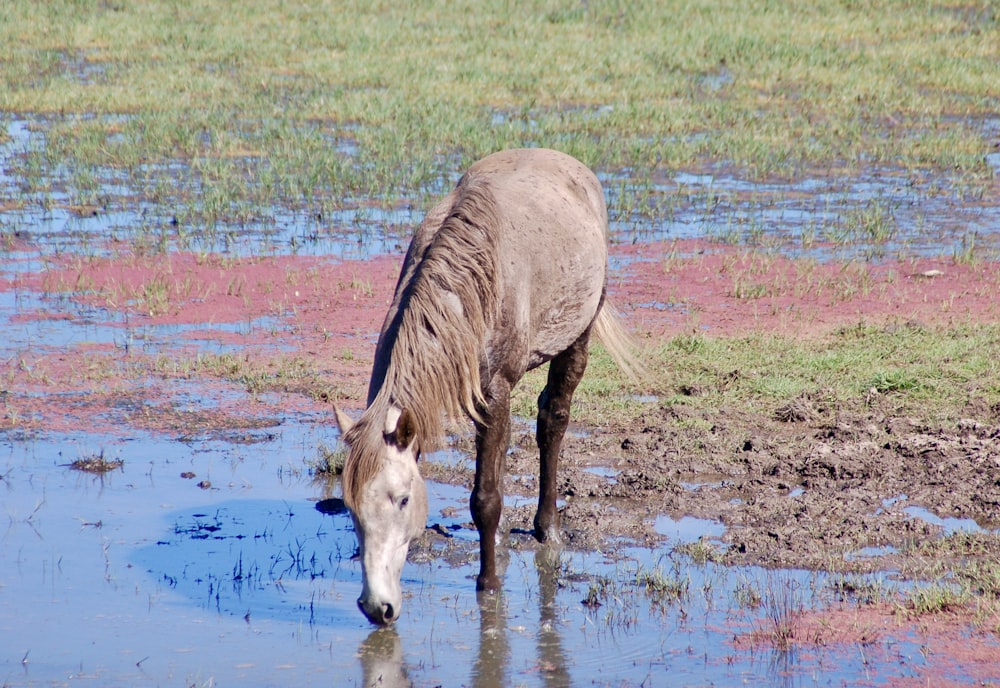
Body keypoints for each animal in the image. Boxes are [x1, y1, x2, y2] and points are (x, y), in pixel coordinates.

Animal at [332, 148, 636, 628]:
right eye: (350, 507)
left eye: (402, 500)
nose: (376, 607)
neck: (464, 295)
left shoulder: (495, 393)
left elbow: (486, 499)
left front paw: (489, 586)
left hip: (578, 338)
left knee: (553, 420)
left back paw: (548, 527)